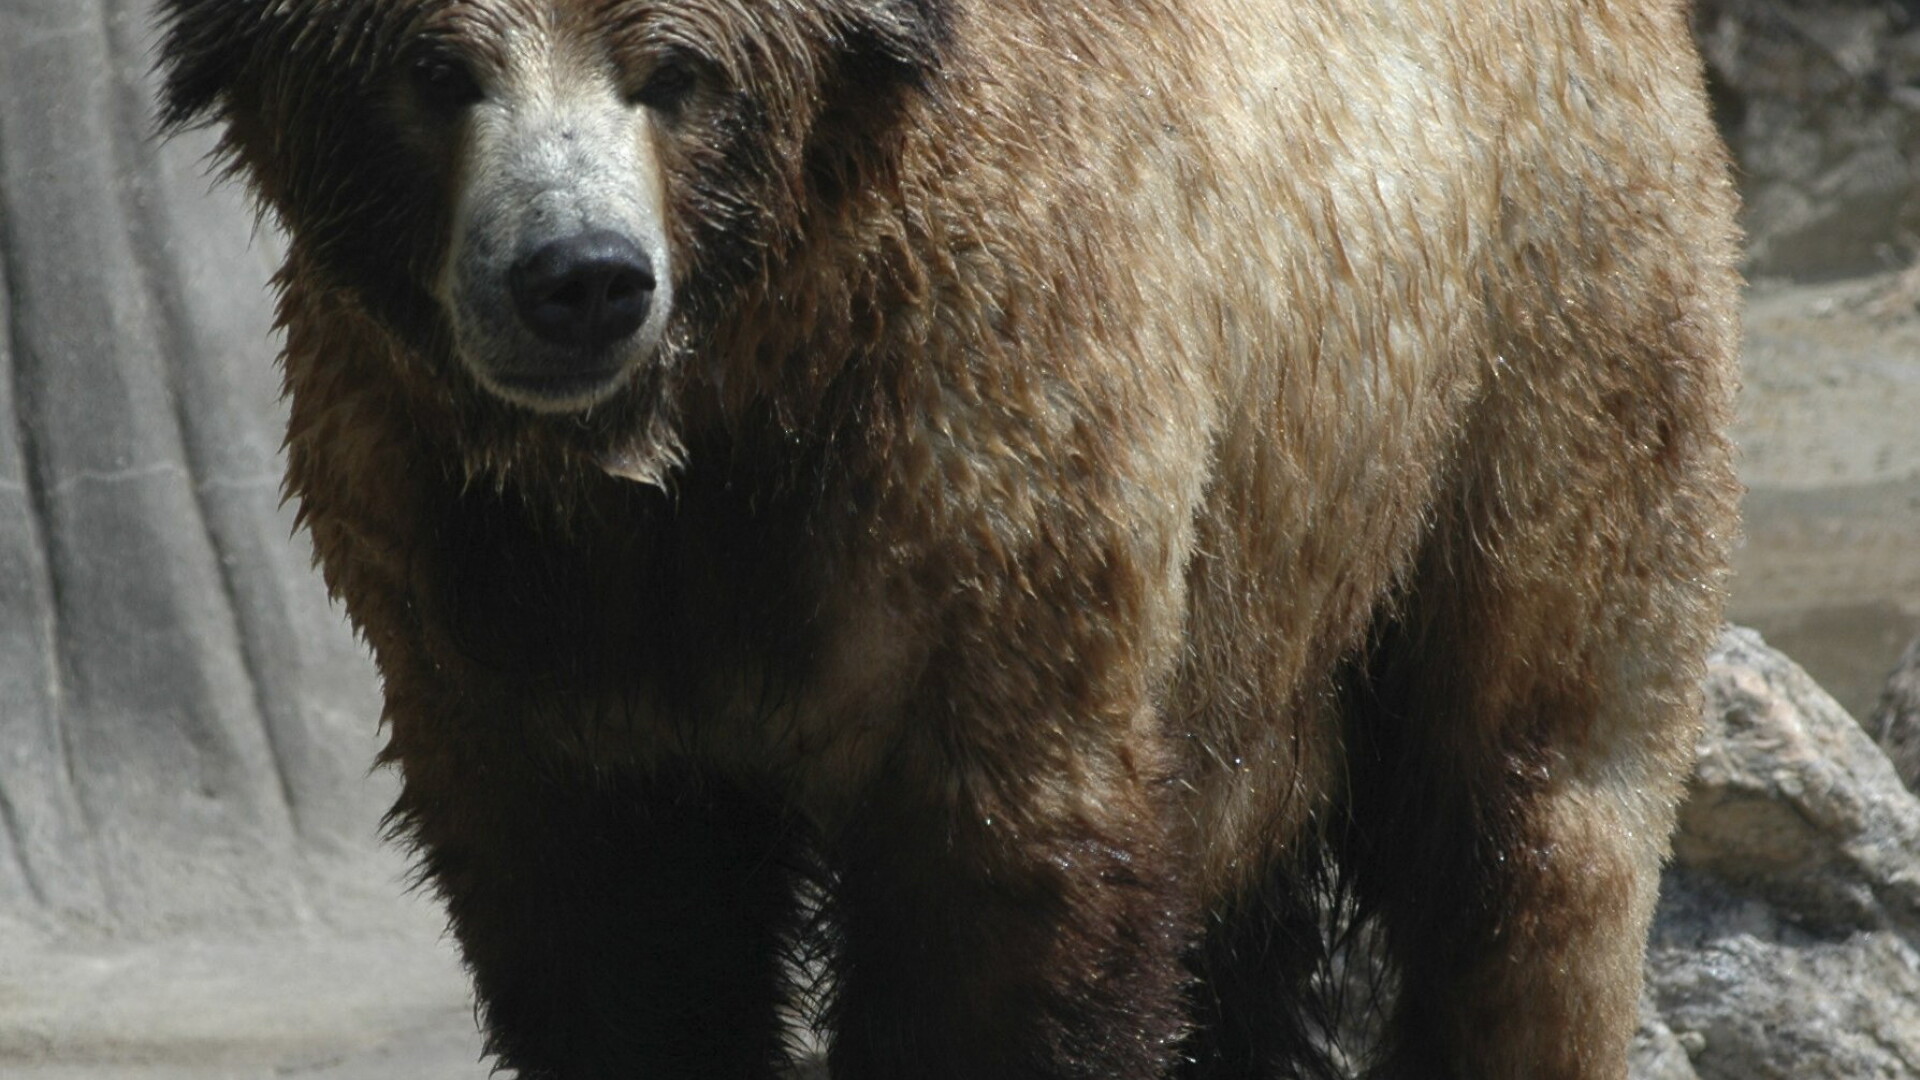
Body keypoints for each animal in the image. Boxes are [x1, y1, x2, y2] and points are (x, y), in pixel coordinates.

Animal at [149, 2, 1743, 1076]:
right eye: (436, 71)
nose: (580, 278)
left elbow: (1005, 891)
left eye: (675, 71)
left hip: (1527, 347)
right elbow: (615, 930)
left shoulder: (976, 451)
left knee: (1532, 816)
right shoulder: (480, 576)